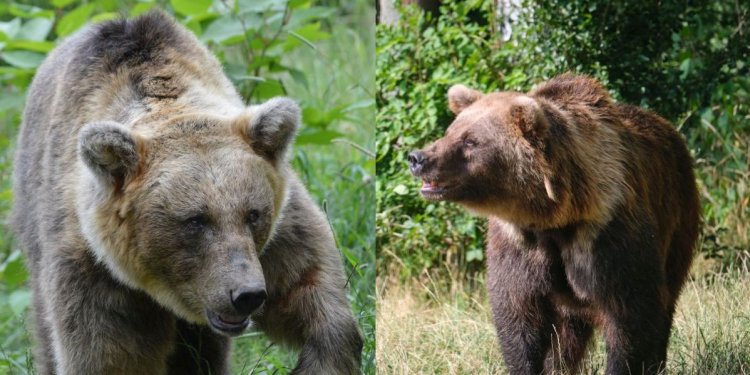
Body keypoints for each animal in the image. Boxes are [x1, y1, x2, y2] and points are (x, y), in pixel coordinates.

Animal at [11, 11, 362, 375]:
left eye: (253, 214)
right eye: (195, 220)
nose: (247, 294)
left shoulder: (278, 236)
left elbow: (314, 290)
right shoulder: (94, 270)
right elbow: (108, 355)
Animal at [408, 74, 704, 375]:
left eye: (471, 141)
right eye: (450, 132)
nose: (418, 158)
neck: (556, 219)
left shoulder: (608, 239)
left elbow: (632, 316)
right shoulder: (520, 246)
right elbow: (517, 317)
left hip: (678, 220)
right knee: (565, 337)